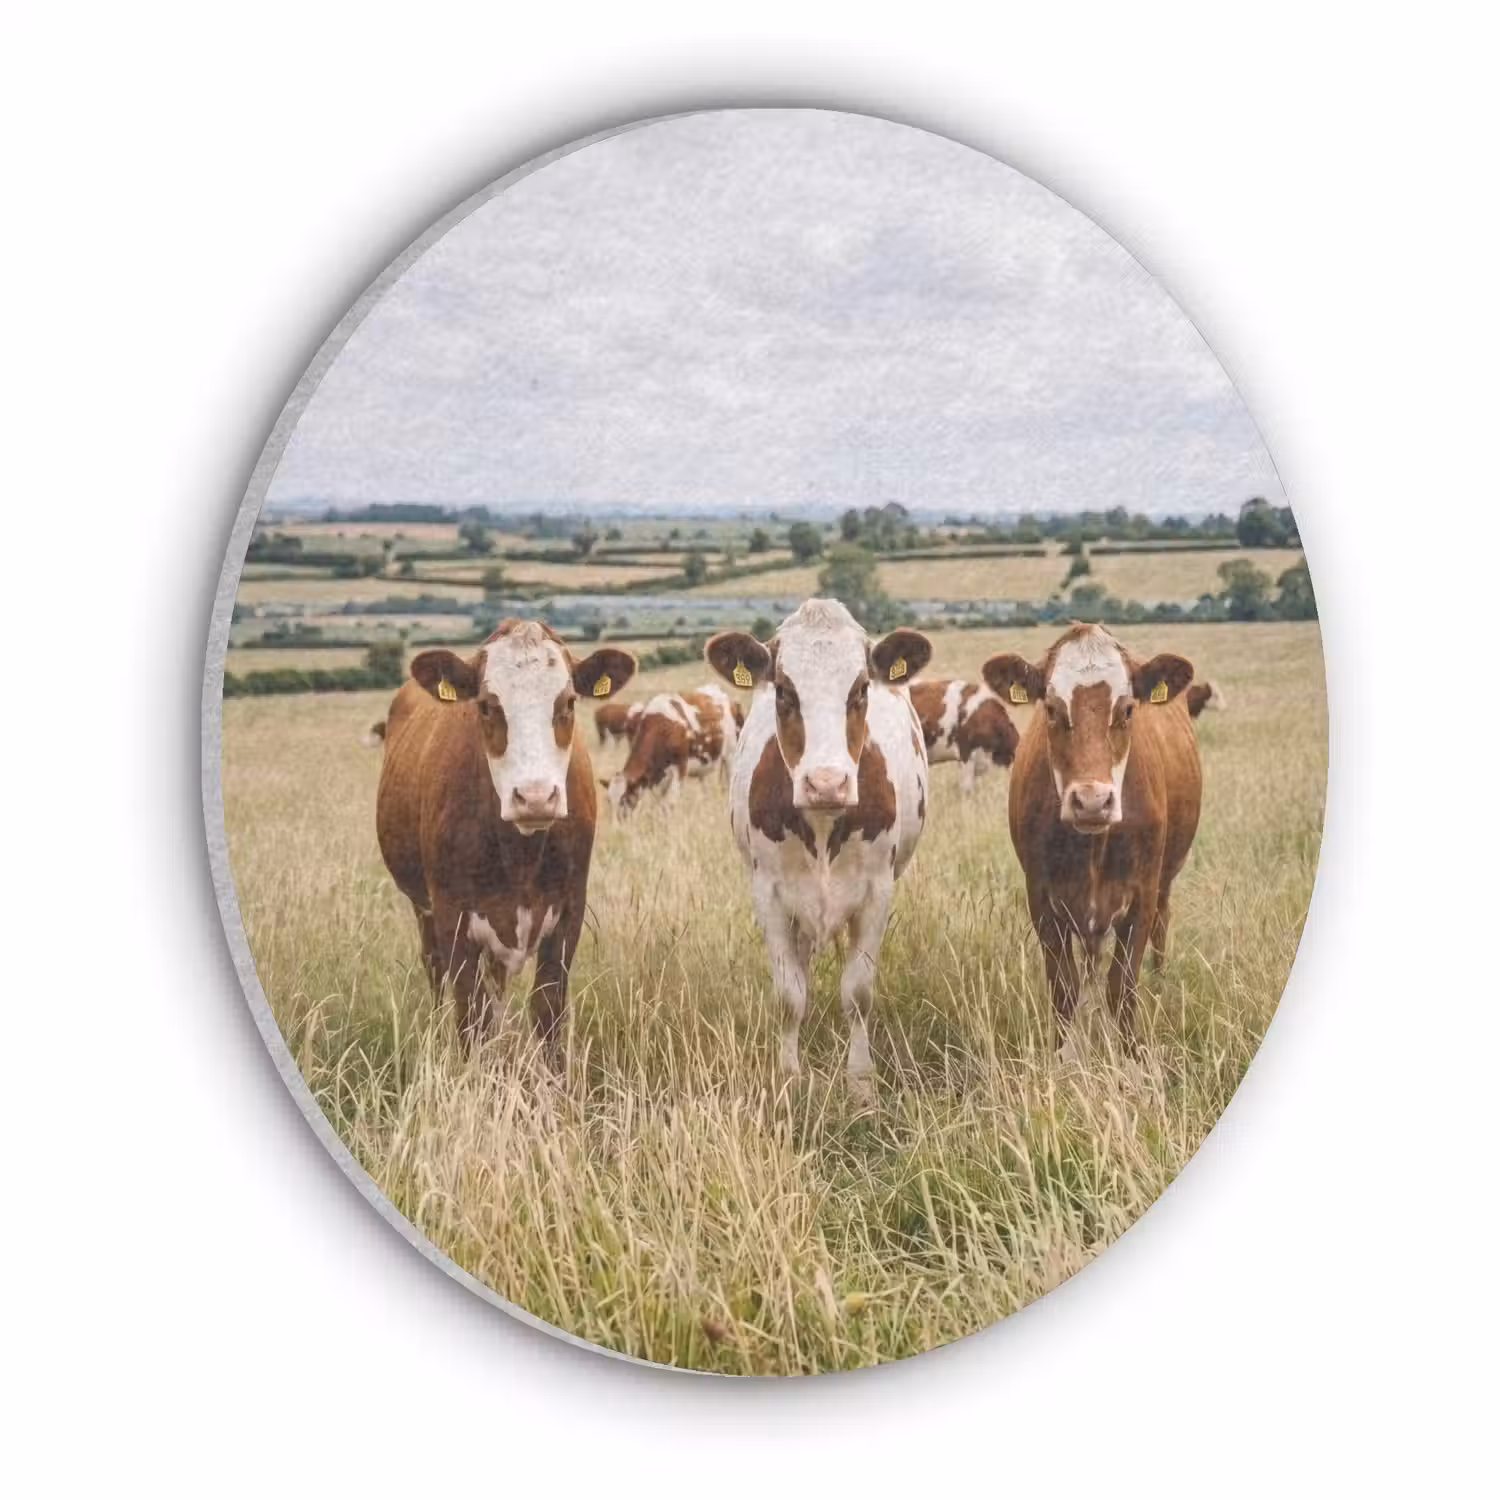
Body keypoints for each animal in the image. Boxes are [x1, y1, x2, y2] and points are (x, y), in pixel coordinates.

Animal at [375, 620, 636, 1057]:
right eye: (485, 705)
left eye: (568, 703)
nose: (535, 797)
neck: (520, 854)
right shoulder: (452, 917)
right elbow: (471, 1018)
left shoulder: (569, 913)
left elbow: (548, 1010)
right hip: (423, 910)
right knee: (435, 971)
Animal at [604, 685, 740, 814]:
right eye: (609, 801)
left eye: (624, 799)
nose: (616, 822)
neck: (662, 727)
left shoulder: (680, 768)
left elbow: (670, 804)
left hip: (730, 756)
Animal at [706, 599, 932, 1096]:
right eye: (784, 692)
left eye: (861, 689)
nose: (826, 783)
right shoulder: (769, 894)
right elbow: (789, 993)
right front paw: (789, 1075)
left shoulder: (876, 892)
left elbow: (858, 991)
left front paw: (861, 1081)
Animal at [982, 623, 1201, 1048]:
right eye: (1051, 709)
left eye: (1128, 709)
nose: (1092, 801)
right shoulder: (1043, 900)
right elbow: (1064, 989)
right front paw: (1063, 1055)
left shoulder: (1142, 897)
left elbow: (1123, 986)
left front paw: (1131, 1053)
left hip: (1165, 881)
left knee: (1161, 927)